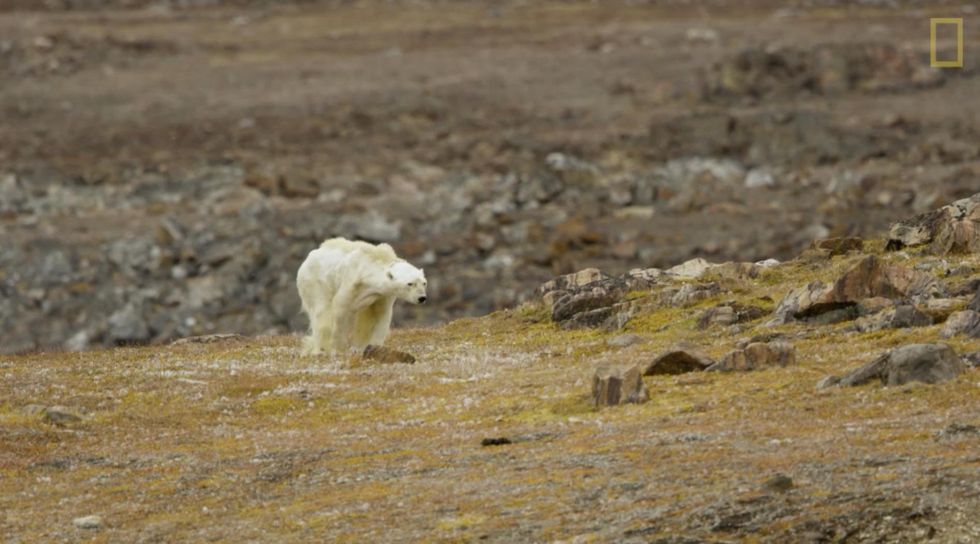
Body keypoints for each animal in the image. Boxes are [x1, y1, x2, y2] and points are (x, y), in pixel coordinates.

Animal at [296, 237, 427, 356]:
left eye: (424, 282)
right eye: (410, 283)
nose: (421, 298)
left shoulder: (382, 295)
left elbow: (380, 315)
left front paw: (374, 347)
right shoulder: (351, 282)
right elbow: (340, 310)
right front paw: (338, 349)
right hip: (315, 282)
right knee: (322, 312)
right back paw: (319, 350)